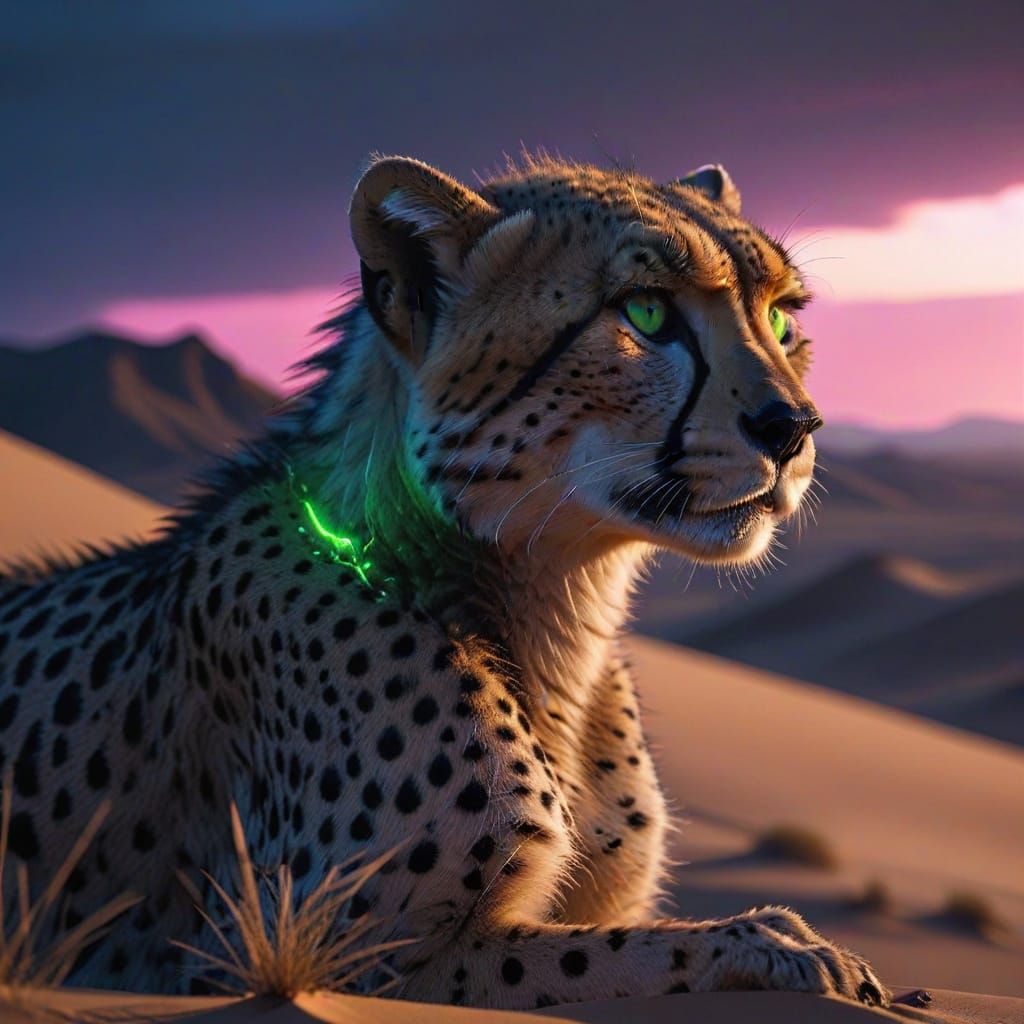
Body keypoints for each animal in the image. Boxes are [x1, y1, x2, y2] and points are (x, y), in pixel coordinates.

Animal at [0, 152, 890, 1009]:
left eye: (782, 320)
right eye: (644, 313)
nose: (794, 428)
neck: (556, 608)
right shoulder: (311, 959)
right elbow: (634, 954)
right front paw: (783, 946)